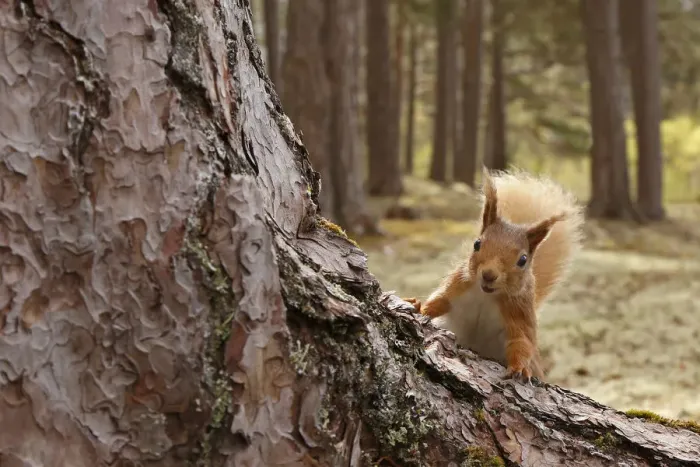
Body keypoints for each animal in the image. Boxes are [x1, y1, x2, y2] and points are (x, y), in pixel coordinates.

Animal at [406, 168, 584, 382]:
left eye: (523, 260)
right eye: (477, 244)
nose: (489, 275)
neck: (486, 295)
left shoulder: (519, 310)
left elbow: (521, 341)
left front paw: (519, 368)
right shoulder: (458, 285)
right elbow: (438, 301)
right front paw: (418, 306)